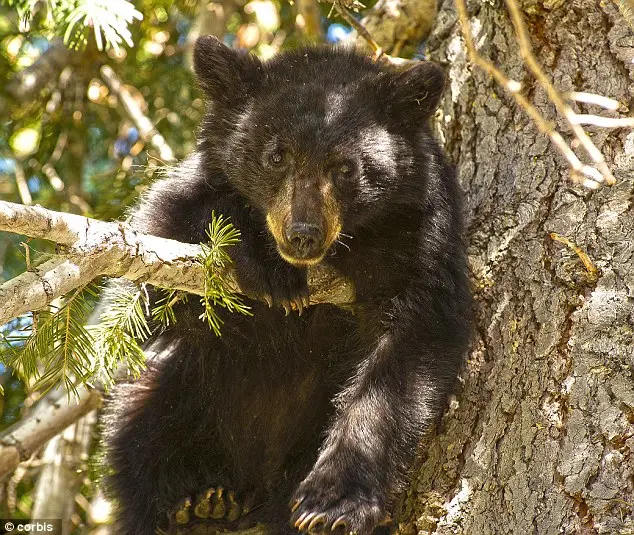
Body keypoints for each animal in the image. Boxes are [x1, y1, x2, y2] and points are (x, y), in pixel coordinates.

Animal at [103, 37, 470, 535]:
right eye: (276, 155)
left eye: (345, 168)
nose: (303, 235)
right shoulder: (178, 201)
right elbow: (144, 293)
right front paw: (262, 262)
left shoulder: (421, 238)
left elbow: (409, 354)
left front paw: (335, 502)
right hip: (178, 396)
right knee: (143, 427)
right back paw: (194, 506)